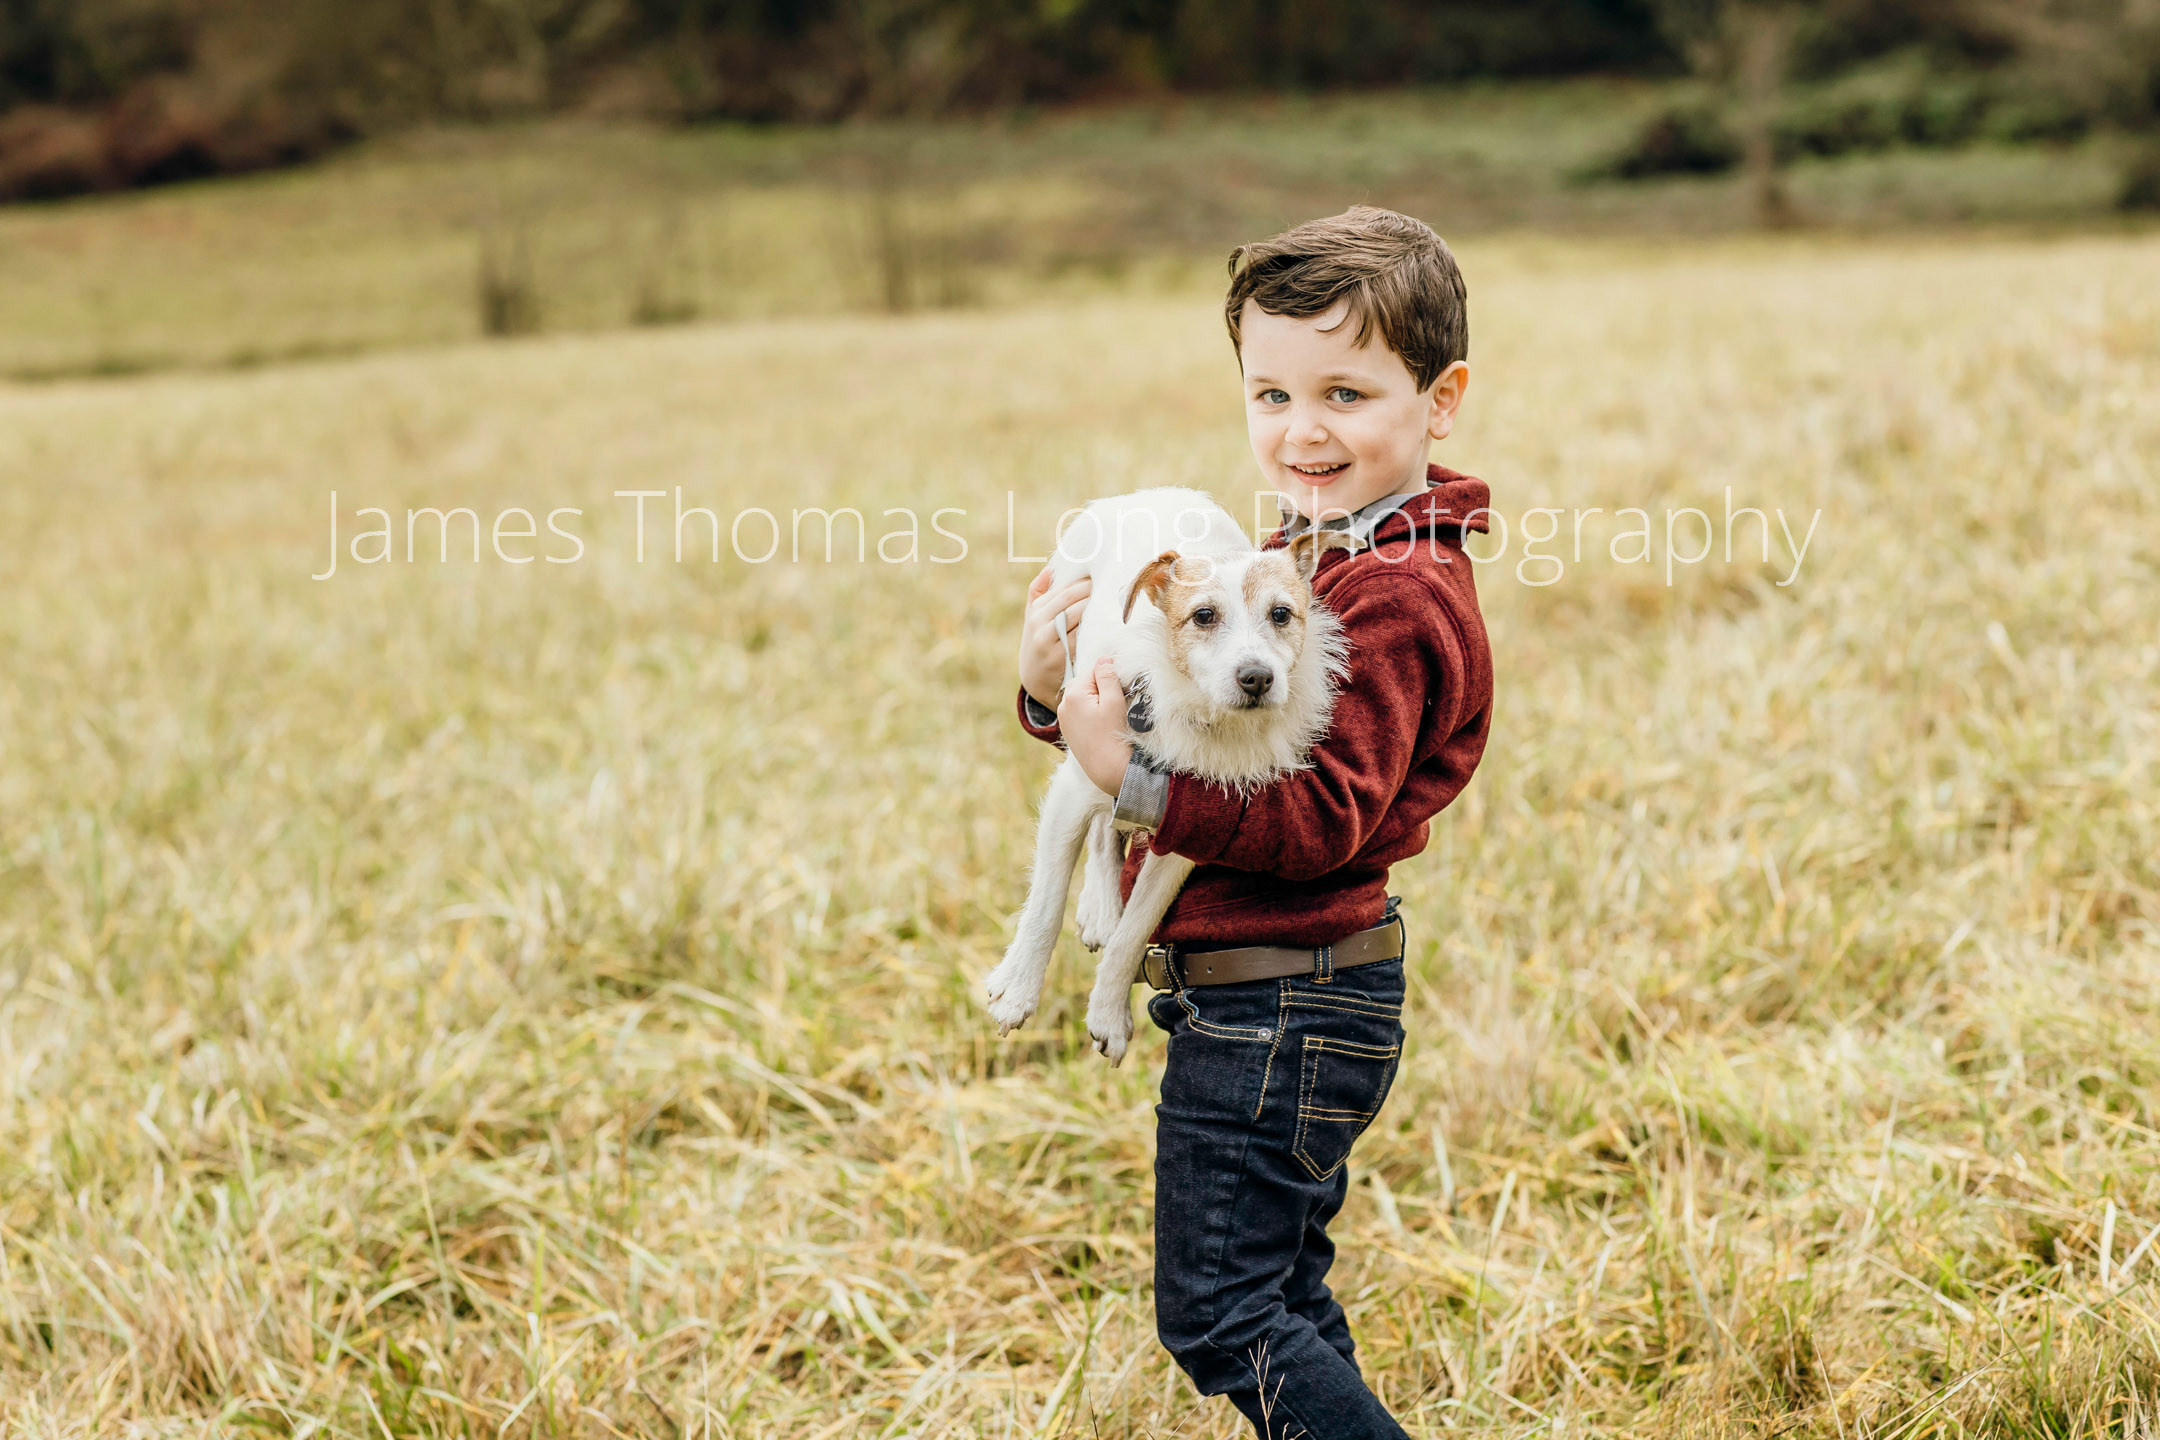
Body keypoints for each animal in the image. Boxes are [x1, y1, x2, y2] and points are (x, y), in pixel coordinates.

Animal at [984, 490, 1347, 1066]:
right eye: (1203, 616)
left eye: (1281, 614)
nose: (1257, 678)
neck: (1200, 709)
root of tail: (1140, 494)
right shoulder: (1072, 791)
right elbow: (1044, 905)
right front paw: (1017, 991)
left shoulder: (1183, 831)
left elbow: (1133, 932)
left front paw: (1109, 1014)